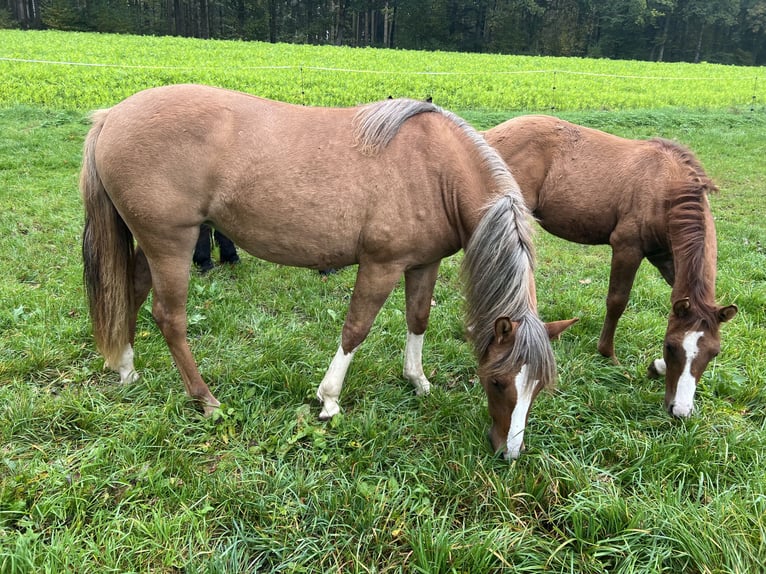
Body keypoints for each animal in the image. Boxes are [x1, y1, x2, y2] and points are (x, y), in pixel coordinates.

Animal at [82, 85, 576, 462]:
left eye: (539, 387)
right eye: (496, 380)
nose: (509, 453)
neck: (436, 168)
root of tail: (112, 117)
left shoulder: (422, 263)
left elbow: (418, 319)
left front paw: (417, 381)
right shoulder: (381, 266)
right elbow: (356, 329)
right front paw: (329, 400)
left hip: (154, 244)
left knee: (131, 294)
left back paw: (126, 370)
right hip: (172, 244)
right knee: (170, 318)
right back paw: (206, 400)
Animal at [486, 115, 736, 418]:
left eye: (714, 352)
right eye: (671, 346)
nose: (680, 410)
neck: (665, 188)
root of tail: (491, 133)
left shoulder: (665, 257)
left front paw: (656, 367)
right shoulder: (627, 247)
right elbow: (617, 301)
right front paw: (608, 354)